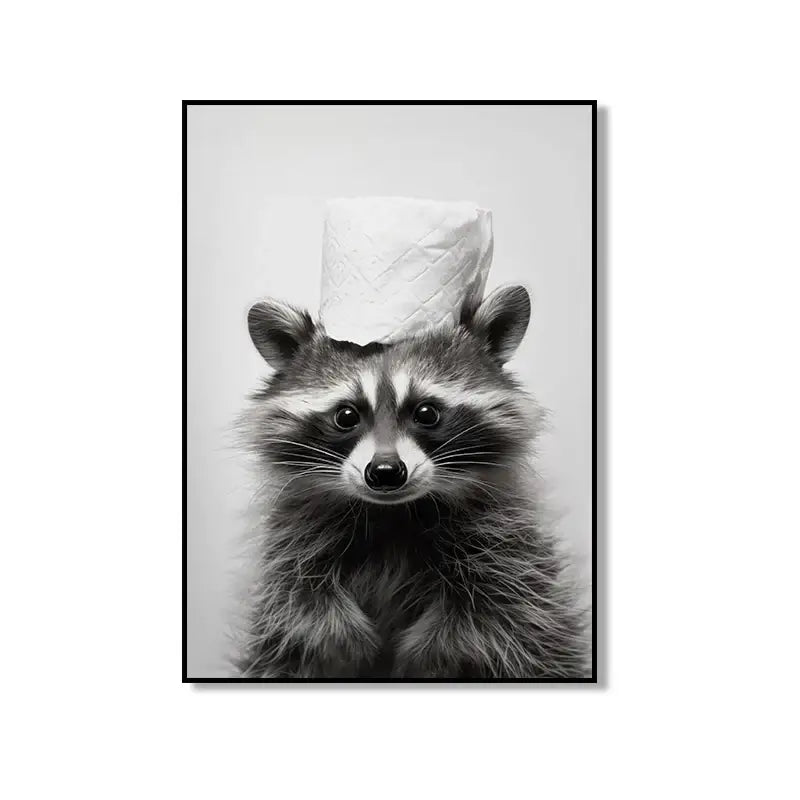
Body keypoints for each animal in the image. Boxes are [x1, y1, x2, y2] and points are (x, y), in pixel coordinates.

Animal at [235, 285, 588, 679]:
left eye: (426, 413)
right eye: (346, 415)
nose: (385, 472)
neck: (392, 512)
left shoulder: (504, 542)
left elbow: (494, 610)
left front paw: (429, 656)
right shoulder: (295, 536)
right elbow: (299, 600)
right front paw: (344, 638)